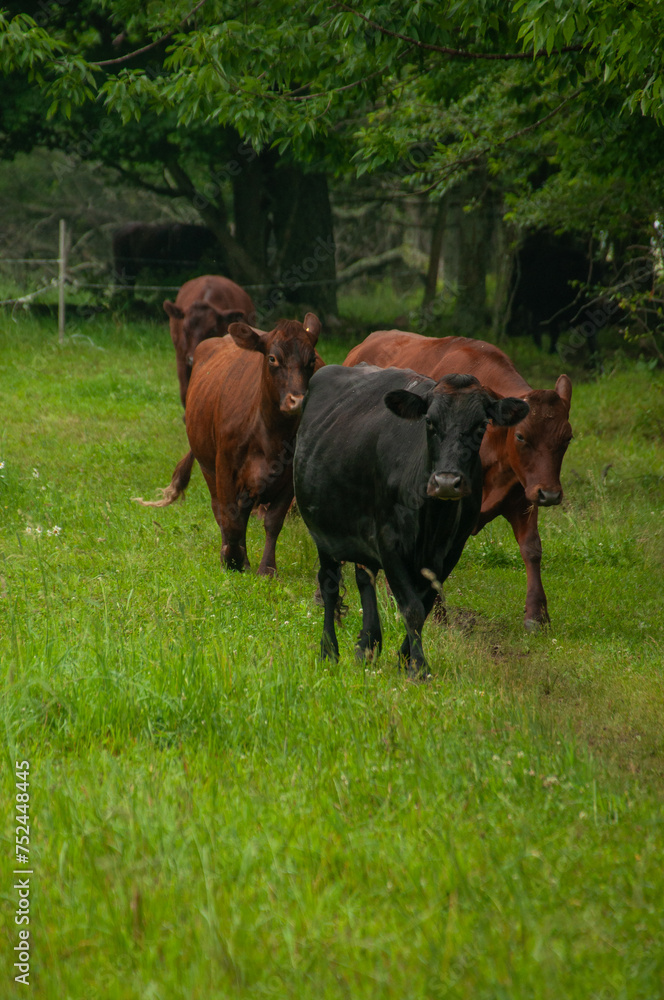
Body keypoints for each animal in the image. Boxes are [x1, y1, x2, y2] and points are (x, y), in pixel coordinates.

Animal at [136, 312, 322, 580]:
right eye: (273, 358)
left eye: (311, 360)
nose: (297, 400)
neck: (271, 435)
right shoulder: (224, 466)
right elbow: (230, 518)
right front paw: (232, 559)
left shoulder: (290, 477)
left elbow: (273, 521)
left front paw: (267, 568)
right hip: (208, 465)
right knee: (221, 510)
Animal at [294, 364, 528, 676]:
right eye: (429, 422)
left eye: (481, 426)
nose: (446, 482)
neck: (433, 521)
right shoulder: (389, 543)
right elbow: (412, 608)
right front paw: (418, 667)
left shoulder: (450, 552)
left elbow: (425, 605)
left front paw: (405, 660)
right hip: (323, 531)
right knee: (330, 587)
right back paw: (329, 651)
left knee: (364, 579)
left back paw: (366, 646)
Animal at [342, 332, 572, 628]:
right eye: (521, 436)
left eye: (568, 438)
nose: (551, 494)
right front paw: (436, 614)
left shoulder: (524, 492)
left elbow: (532, 548)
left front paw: (537, 614)